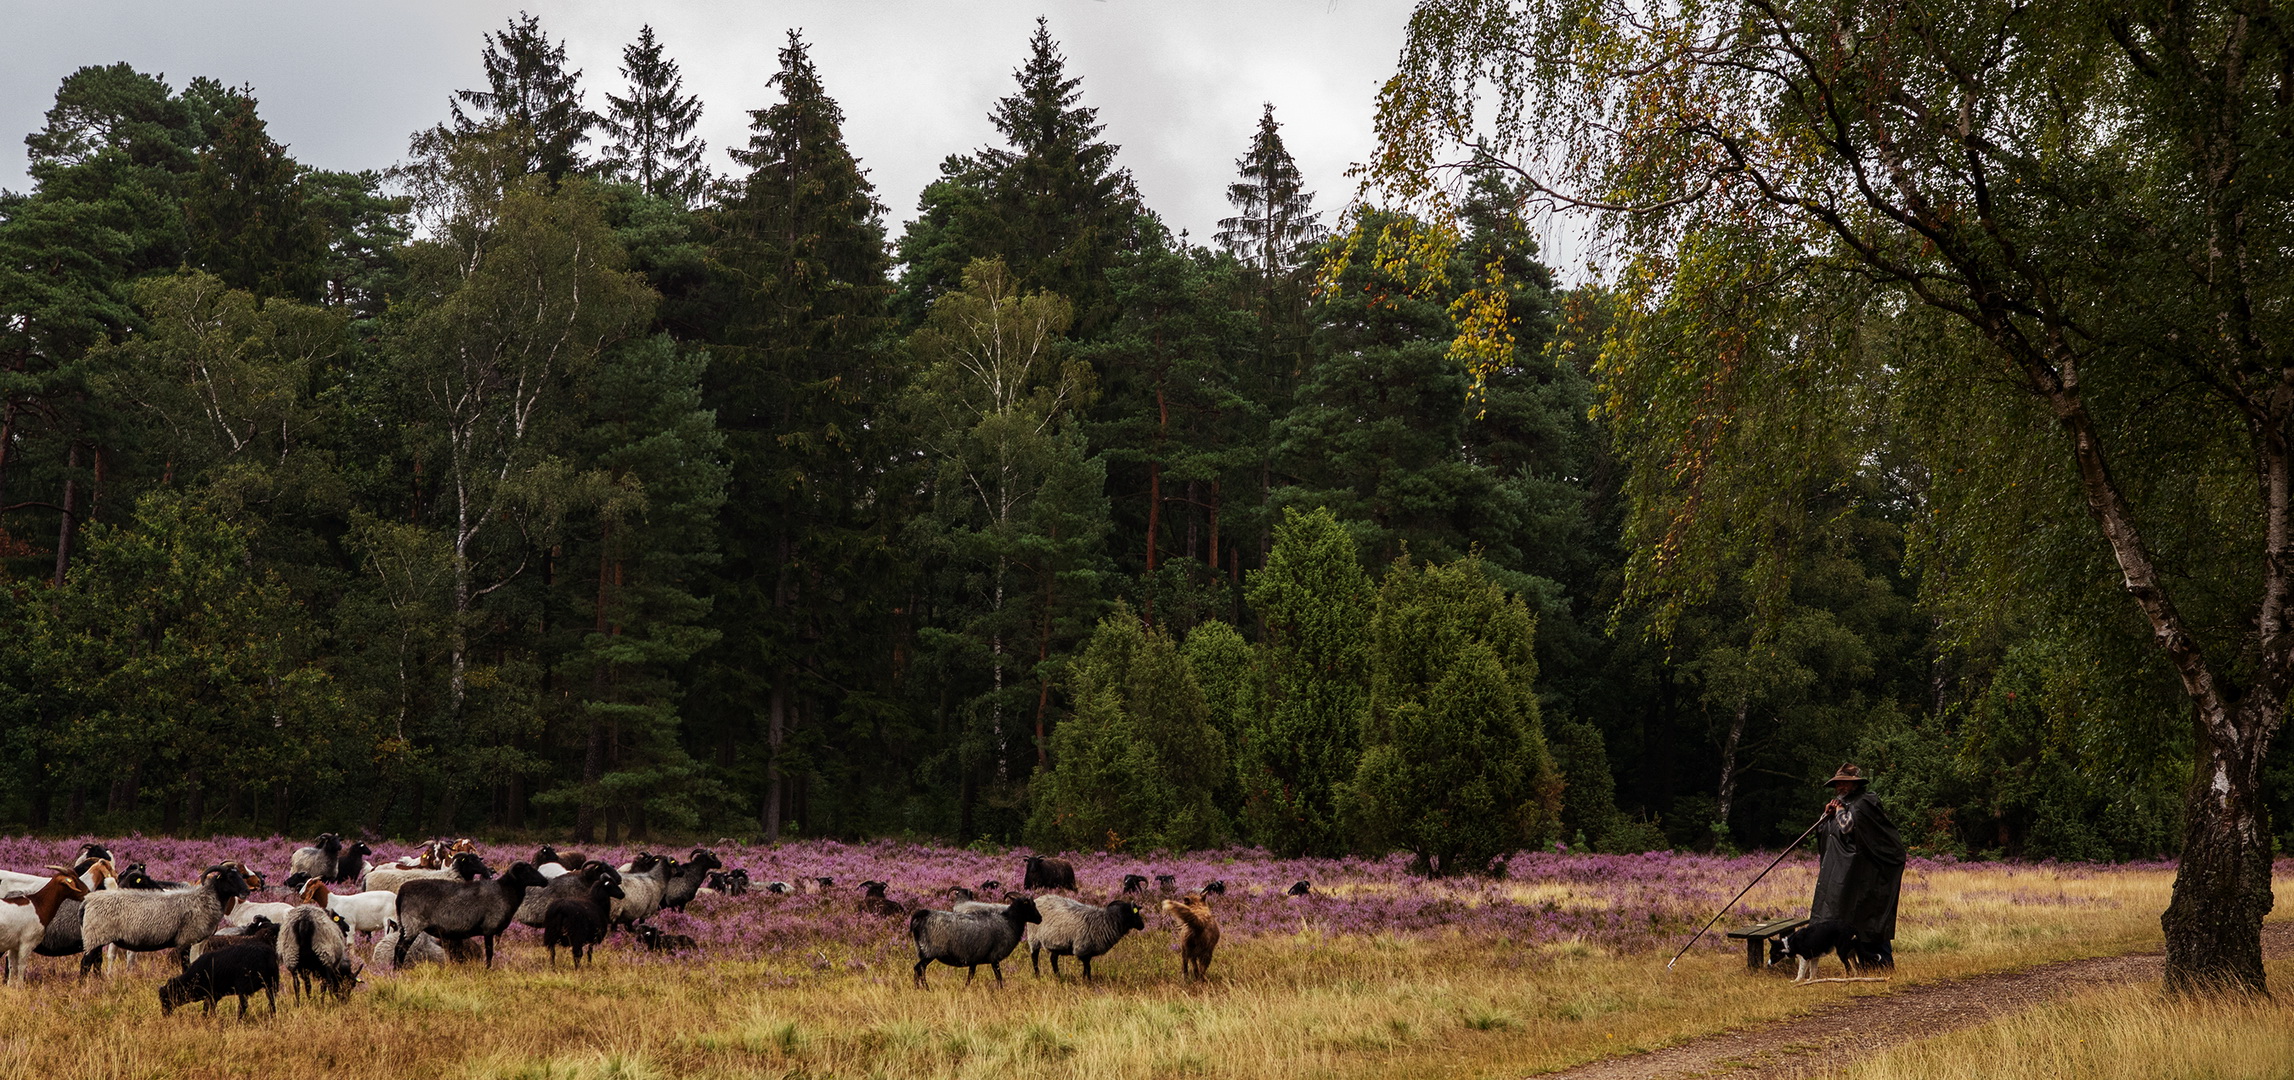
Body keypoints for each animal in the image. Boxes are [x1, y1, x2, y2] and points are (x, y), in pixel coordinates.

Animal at [79, 862, 251, 981]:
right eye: (230, 877)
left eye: (241, 877)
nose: (247, 891)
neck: (204, 899)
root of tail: (87, 901)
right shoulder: (186, 940)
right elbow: (186, 966)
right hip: (95, 937)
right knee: (85, 963)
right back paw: (84, 986)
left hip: (96, 939)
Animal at [394, 862, 550, 972]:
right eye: (527, 870)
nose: (545, 881)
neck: (505, 891)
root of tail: (401, 892)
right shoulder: (489, 928)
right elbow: (489, 952)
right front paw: (488, 969)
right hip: (413, 925)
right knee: (401, 948)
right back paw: (398, 970)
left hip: (405, 926)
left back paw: (395, 970)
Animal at [908, 894, 1046, 990]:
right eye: (1031, 905)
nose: (1040, 919)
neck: (1009, 922)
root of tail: (923, 914)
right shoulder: (994, 957)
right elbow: (999, 977)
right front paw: (1002, 990)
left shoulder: (974, 959)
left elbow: (970, 976)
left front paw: (965, 989)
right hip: (930, 951)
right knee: (919, 968)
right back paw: (926, 988)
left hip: (923, 950)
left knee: (918, 969)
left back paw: (917, 988)